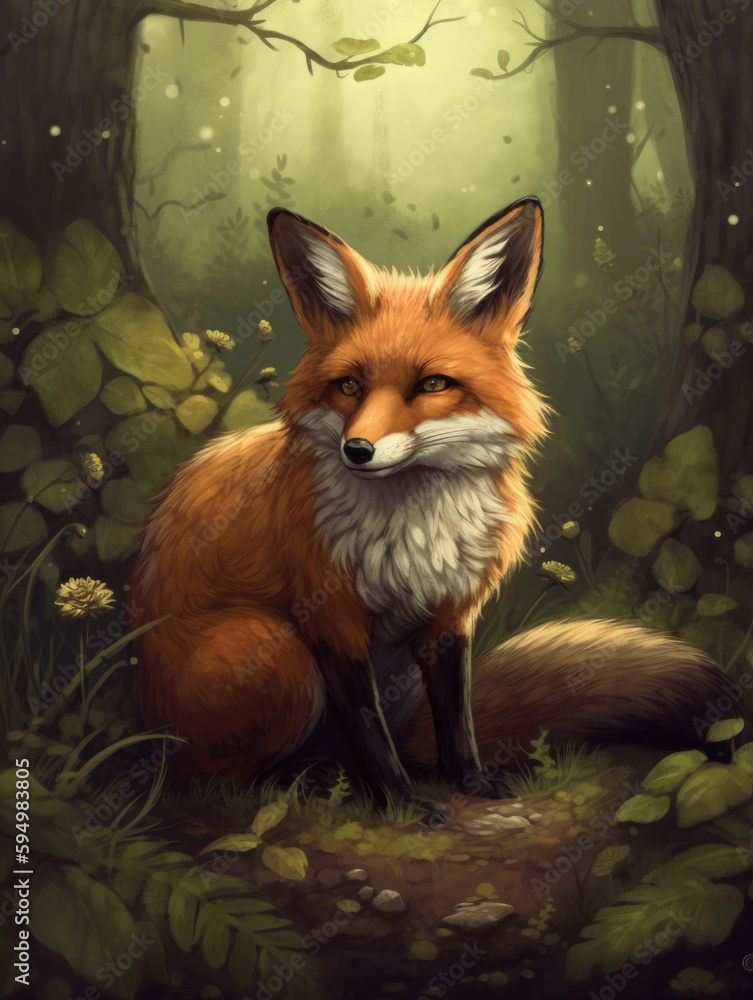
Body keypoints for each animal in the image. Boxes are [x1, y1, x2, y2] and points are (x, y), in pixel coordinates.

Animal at [131, 197, 731, 820]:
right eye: (349, 386)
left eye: (433, 384)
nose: (356, 450)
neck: (414, 531)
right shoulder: (330, 619)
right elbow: (372, 736)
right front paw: (402, 803)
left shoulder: (451, 614)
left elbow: (457, 720)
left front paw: (469, 781)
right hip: (275, 651)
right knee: (211, 782)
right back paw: (305, 780)